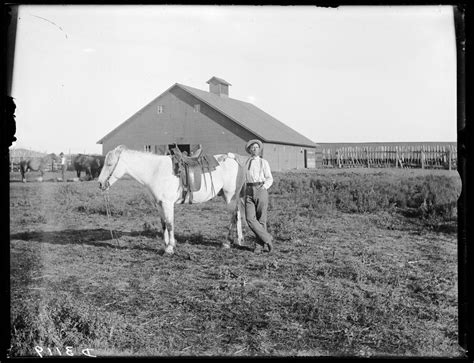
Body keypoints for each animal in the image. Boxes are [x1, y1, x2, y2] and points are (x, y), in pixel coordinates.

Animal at [97, 146, 246, 255]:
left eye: (109, 164)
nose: (100, 184)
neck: (155, 171)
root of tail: (233, 159)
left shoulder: (168, 204)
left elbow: (169, 224)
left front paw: (169, 248)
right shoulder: (159, 204)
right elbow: (163, 224)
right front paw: (166, 245)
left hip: (230, 196)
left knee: (233, 216)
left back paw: (227, 242)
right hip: (231, 197)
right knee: (238, 215)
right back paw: (239, 240)